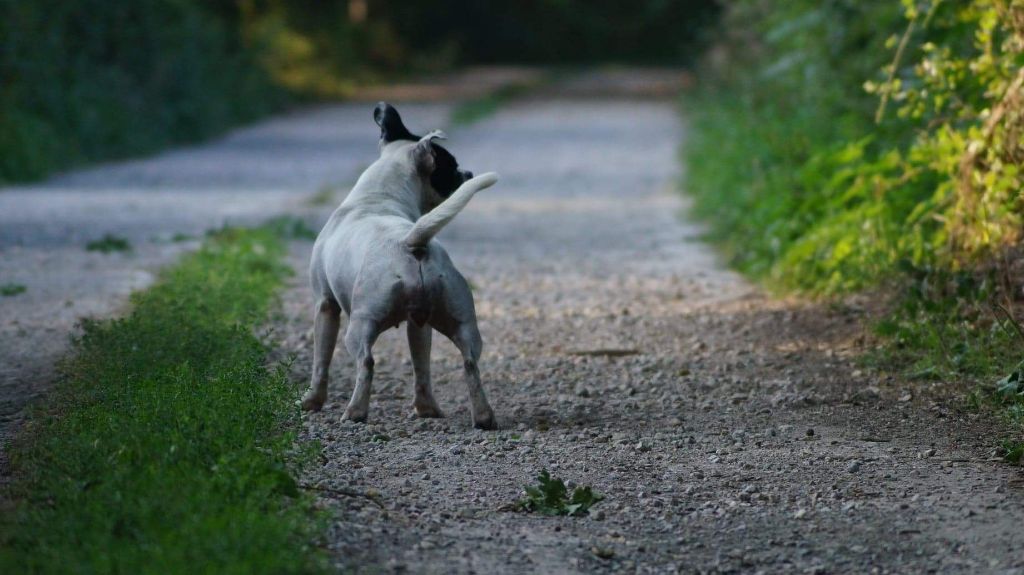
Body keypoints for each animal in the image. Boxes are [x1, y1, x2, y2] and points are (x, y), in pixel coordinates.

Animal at [301, 102, 499, 429]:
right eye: (451, 165)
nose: (469, 172)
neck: (378, 195)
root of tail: (409, 242)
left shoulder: (325, 305)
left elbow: (320, 361)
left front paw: (311, 402)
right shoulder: (418, 323)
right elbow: (421, 362)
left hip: (359, 325)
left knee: (366, 363)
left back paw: (355, 412)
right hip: (460, 322)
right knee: (468, 363)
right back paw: (472, 414)